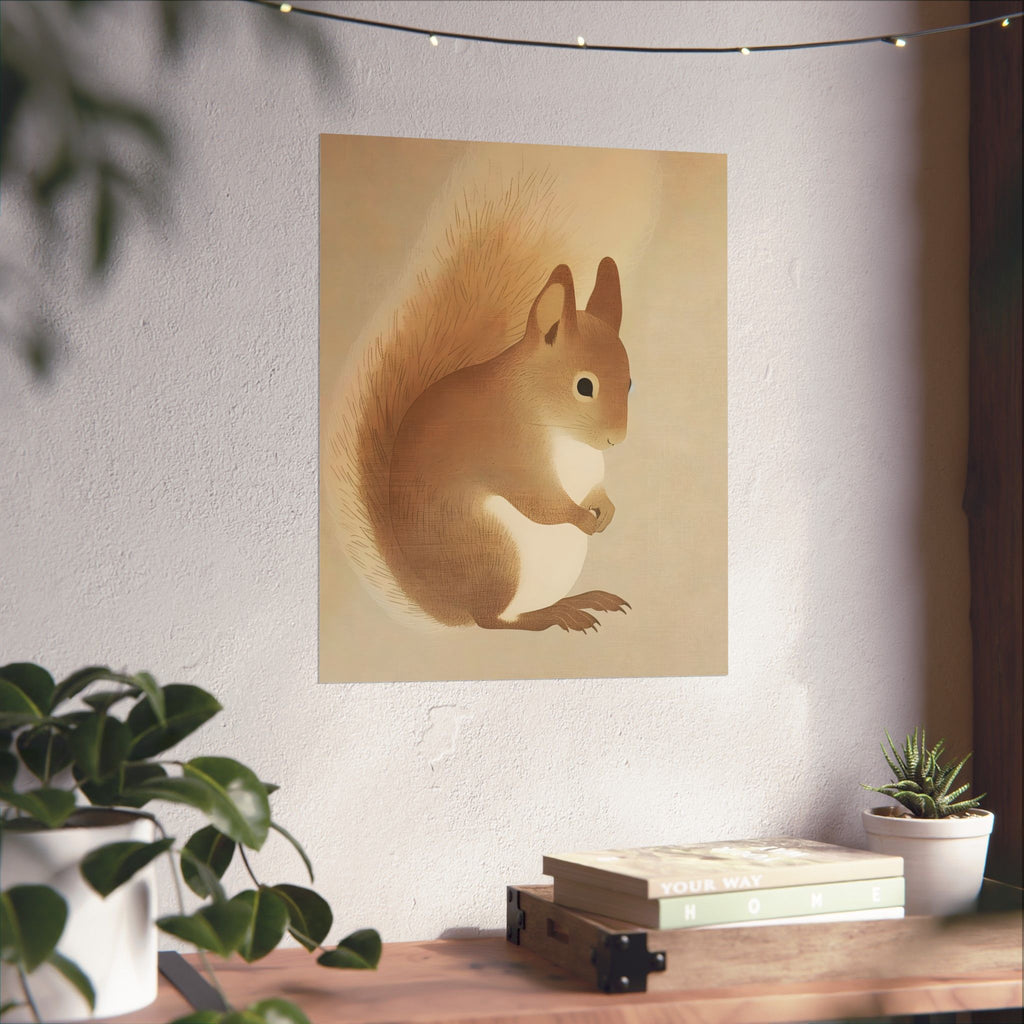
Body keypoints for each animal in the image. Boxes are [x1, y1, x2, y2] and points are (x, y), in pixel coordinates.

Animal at [325, 169, 632, 633]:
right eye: (584, 386)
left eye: (631, 382)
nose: (617, 439)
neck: (561, 431)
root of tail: (448, 605)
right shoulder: (508, 452)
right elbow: (540, 502)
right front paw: (582, 516)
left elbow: (595, 487)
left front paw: (607, 508)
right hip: (496, 554)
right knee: (496, 620)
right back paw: (556, 614)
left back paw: (585, 598)